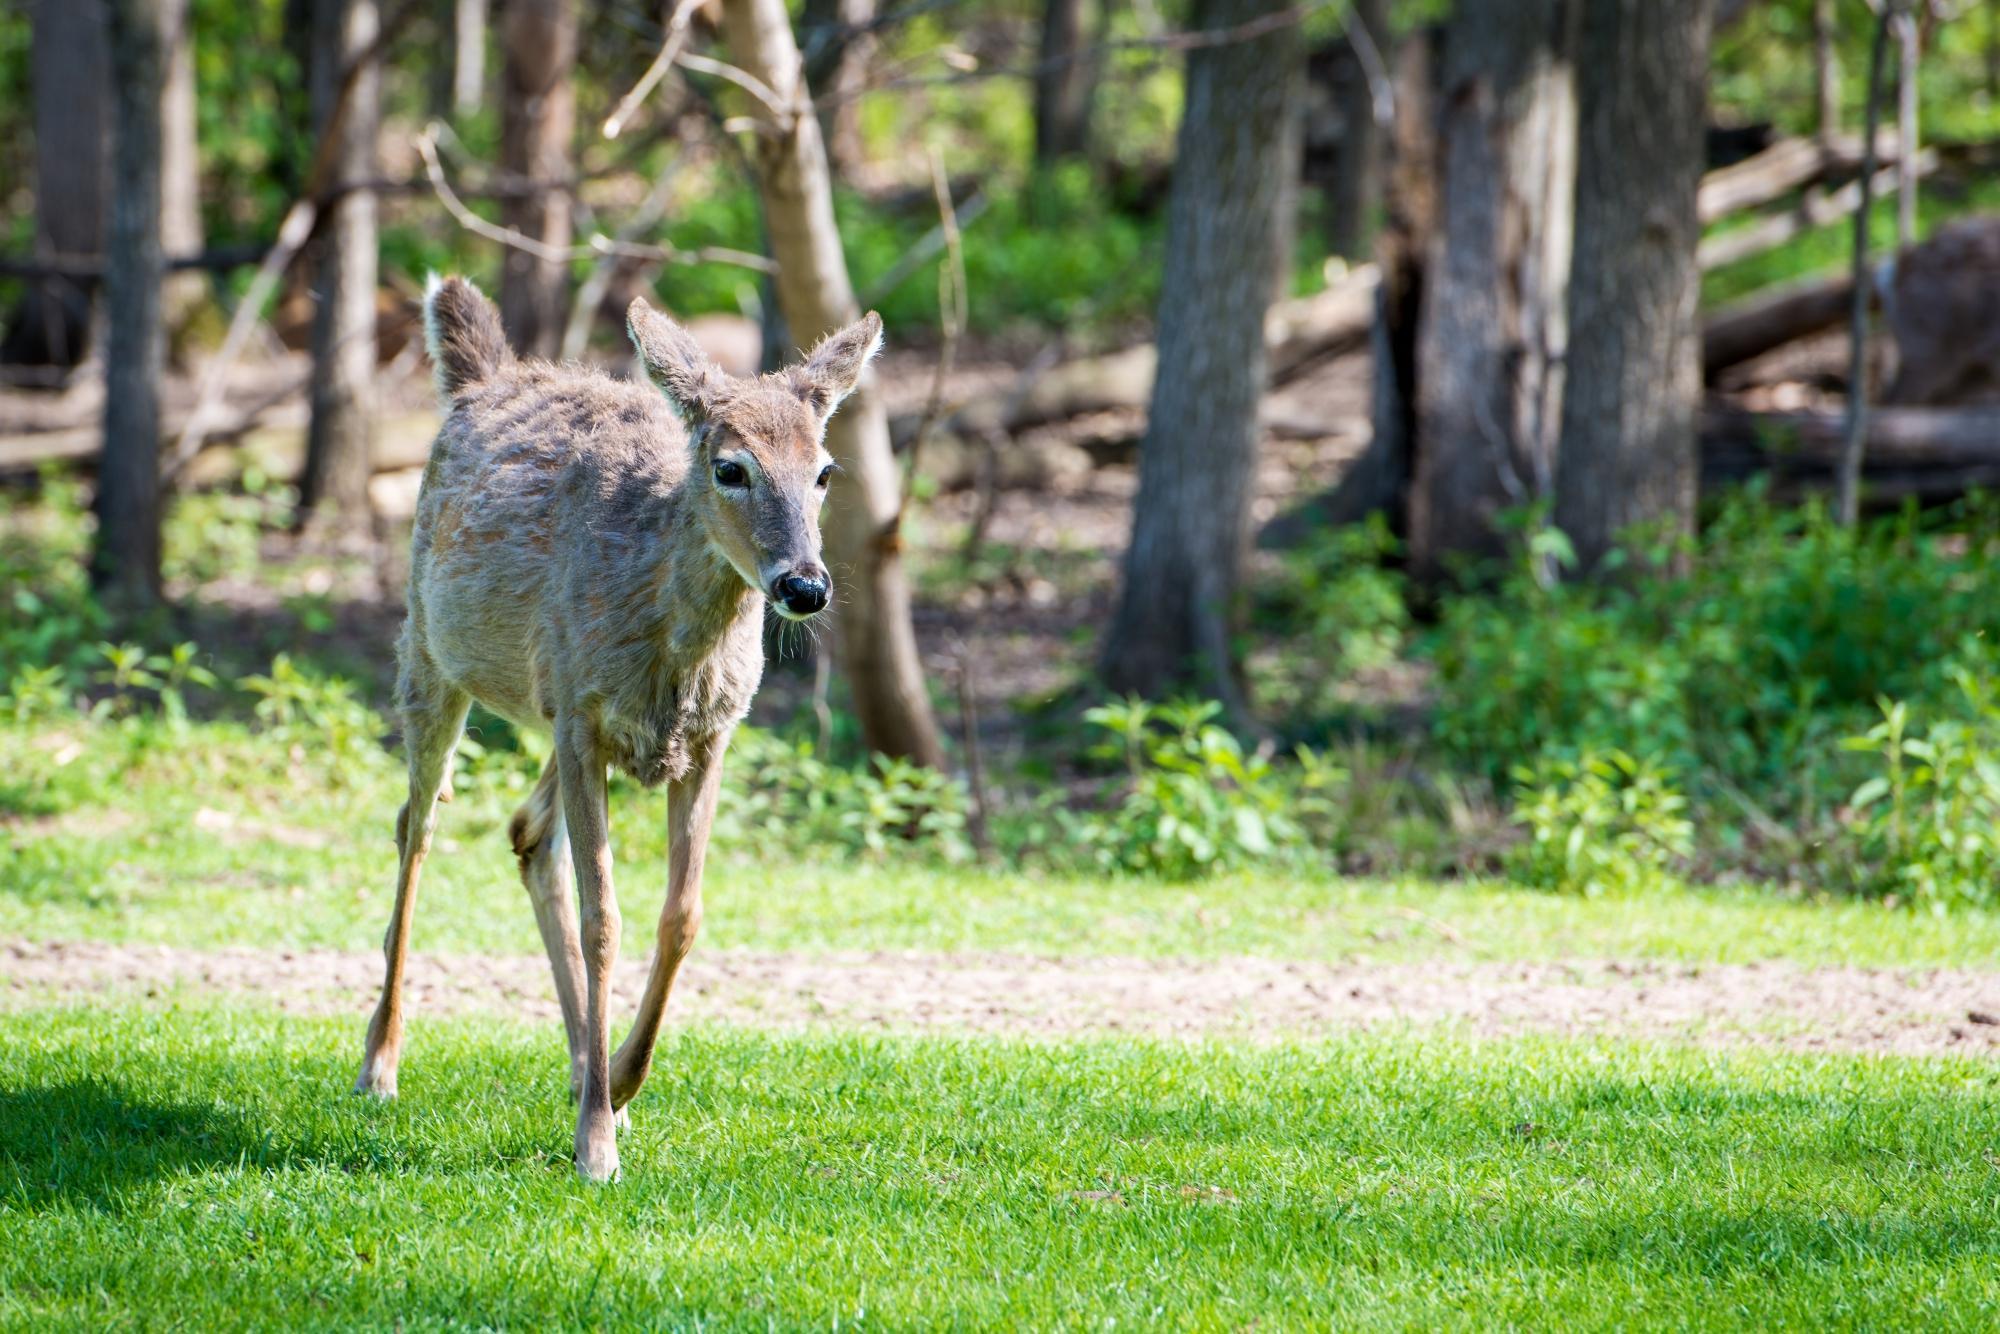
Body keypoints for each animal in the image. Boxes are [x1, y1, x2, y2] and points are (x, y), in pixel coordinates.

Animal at [354, 274, 884, 1176]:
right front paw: (597, 1140)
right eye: (730, 467)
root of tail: (485, 376)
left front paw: (623, 1084)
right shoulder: (582, 720)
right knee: (414, 829)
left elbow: (682, 915)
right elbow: (606, 920)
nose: (805, 585)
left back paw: (582, 1067)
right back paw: (381, 1062)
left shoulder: (706, 735)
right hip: (430, 651)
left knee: (527, 832)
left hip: (553, 704)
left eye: (823, 471)